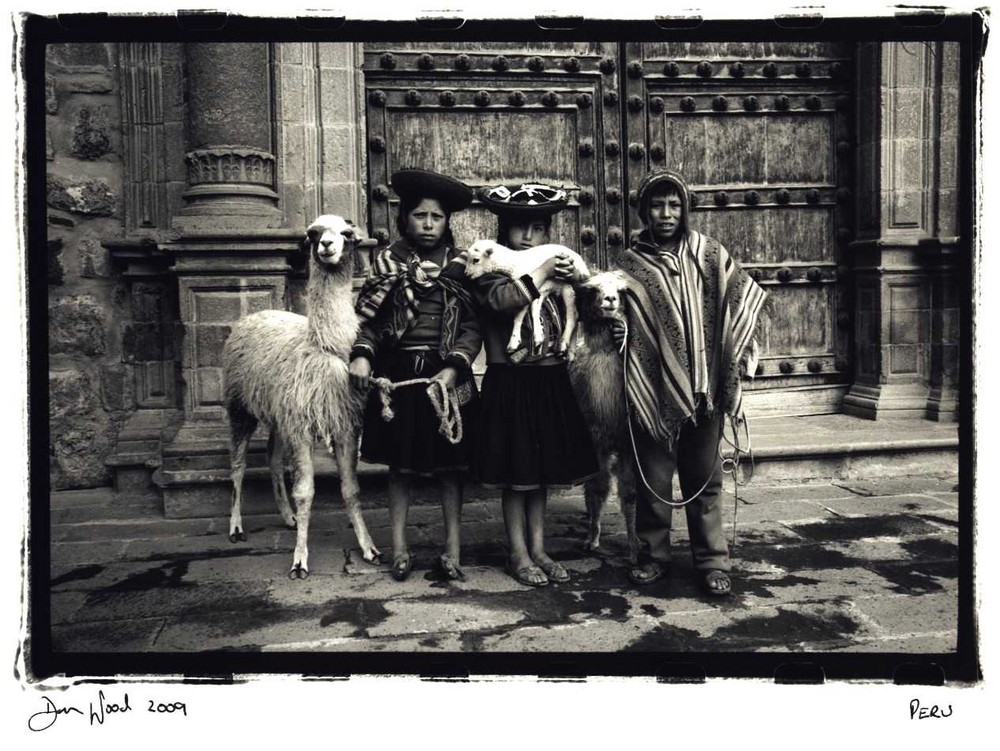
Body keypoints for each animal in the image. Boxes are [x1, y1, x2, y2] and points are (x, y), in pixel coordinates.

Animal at [222, 214, 378, 580]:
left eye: (347, 233)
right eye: (313, 232)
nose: (327, 246)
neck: (322, 347)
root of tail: (256, 314)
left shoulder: (345, 425)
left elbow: (351, 489)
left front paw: (368, 547)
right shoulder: (302, 428)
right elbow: (306, 492)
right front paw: (299, 561)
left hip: (280, 414)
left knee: (272, 458)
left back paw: (288, 516)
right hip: (239, 405)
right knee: (238, 465)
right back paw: (236, 527)